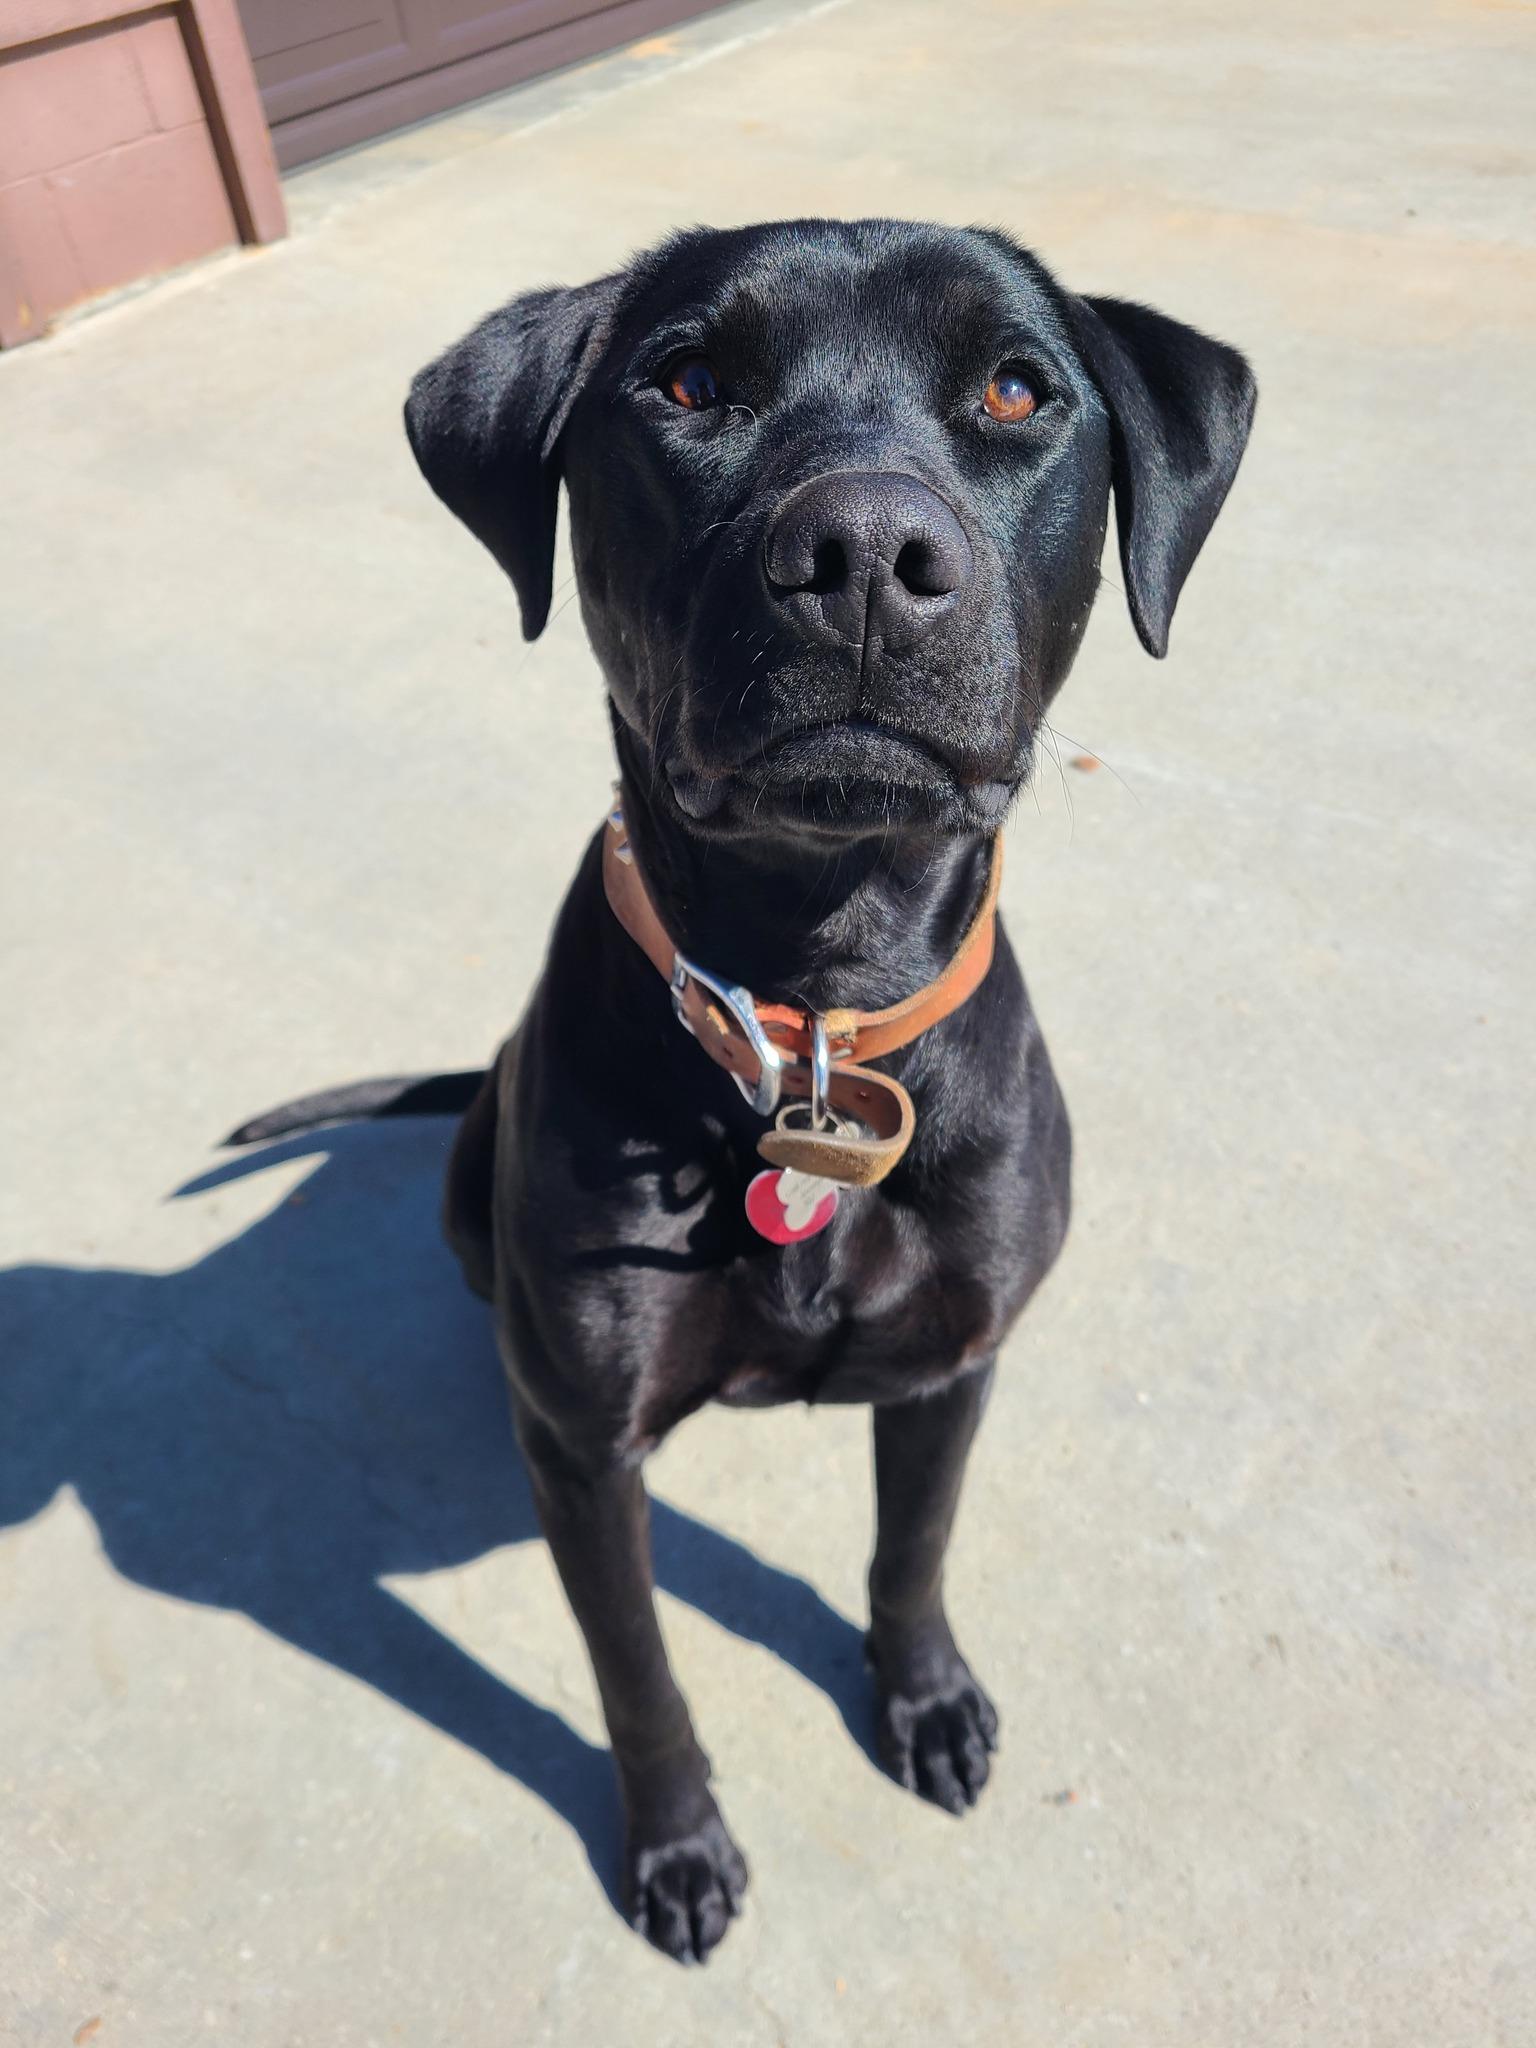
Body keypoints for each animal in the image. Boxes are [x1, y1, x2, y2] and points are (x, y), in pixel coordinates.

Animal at [233, 218, 1254, 1963]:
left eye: (1017, 388)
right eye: (689, 381)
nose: (866, 552)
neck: (812, 1019)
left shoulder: (954, 1365)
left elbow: (913, 1550)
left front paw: (923, 1700)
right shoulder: (588, 1460)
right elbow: (638, 1673)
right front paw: (679, 1845)